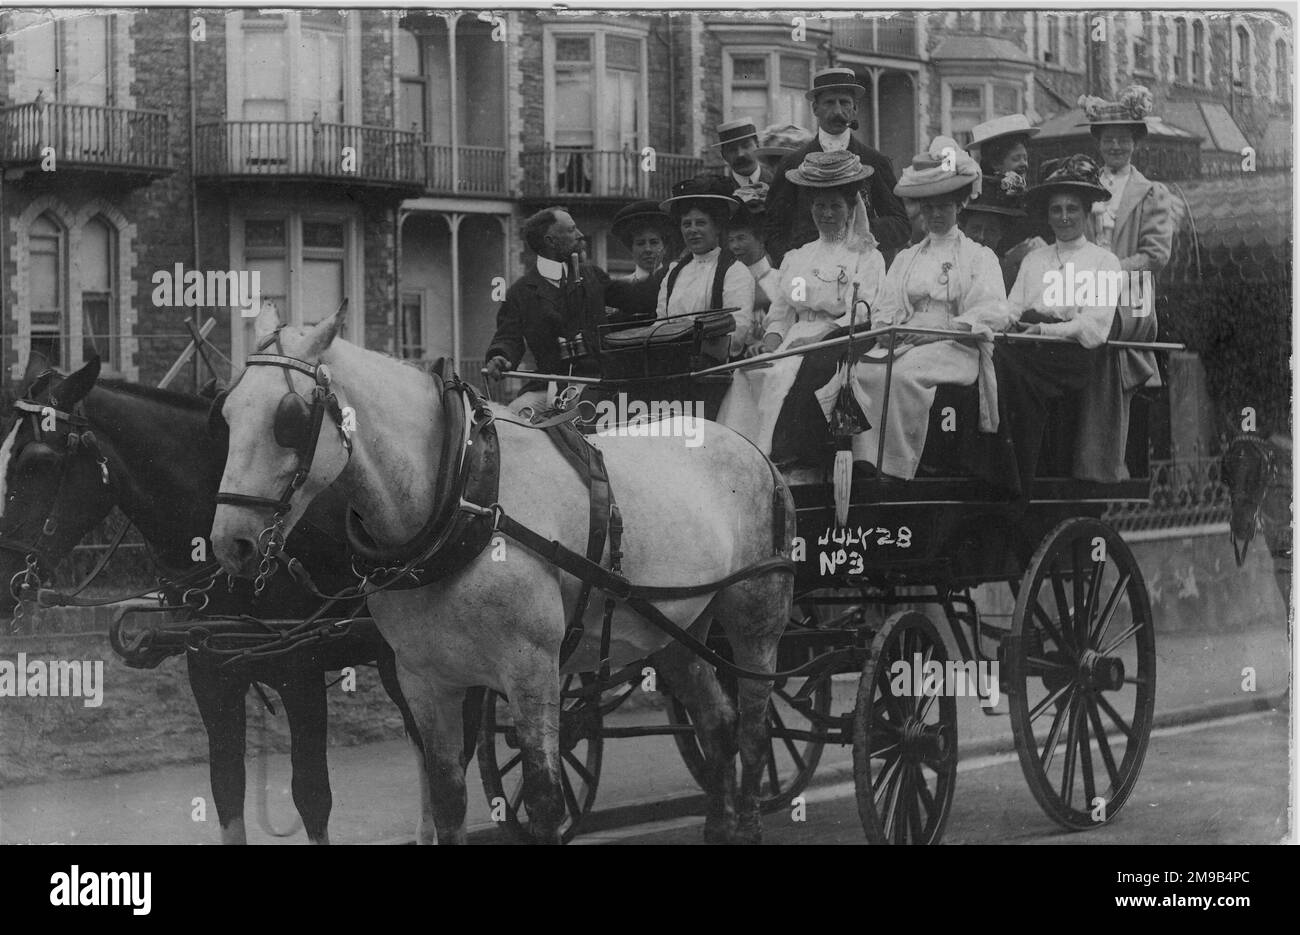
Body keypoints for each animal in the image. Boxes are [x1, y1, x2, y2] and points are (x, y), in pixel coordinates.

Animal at [1, 361, 436, 847]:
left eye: (38, 462)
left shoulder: (301, 676)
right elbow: (227, 789)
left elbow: (311, 795)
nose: (2, 578)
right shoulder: (211, 679)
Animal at [210, 309, 790, 847]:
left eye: (289, 418)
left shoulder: (531, 669)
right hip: (676, 631)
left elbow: (544, 800)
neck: (463, 495)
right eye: (226, 412)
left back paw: (749, 821)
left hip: (754, 618)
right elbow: (446, 796)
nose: (229, 543)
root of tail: (753, 448)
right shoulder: (425, 678)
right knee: (716, 723)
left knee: (755, 726)